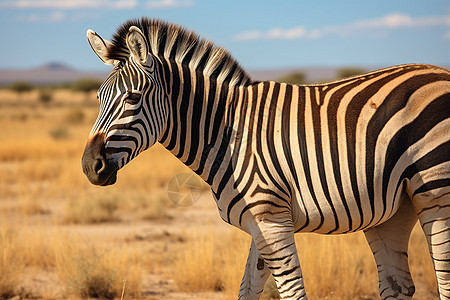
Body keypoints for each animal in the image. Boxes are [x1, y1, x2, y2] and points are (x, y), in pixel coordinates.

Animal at [81, 17, 450, 298]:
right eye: (98, 97)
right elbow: (247, 289)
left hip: (436, 192)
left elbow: (292, 292)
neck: (226, 132)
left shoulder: (273, 220)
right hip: (393, 210)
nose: (89, 167)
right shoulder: (258, 221)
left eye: (132, 98)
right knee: (397, 285)